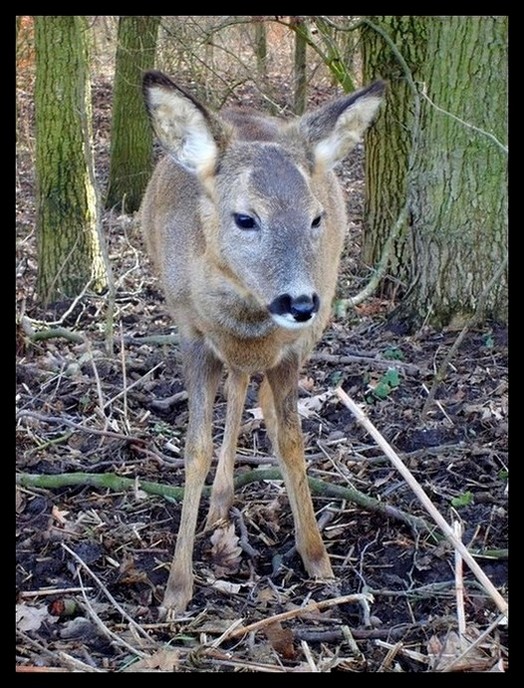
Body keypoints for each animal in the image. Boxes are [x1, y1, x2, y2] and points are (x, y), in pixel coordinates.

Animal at [140, 72, 384, 616]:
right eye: (245, 218)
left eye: (315, 218)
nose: (301, 302)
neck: (247, 317)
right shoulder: (191, 334)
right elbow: (196, 448)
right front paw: (176, 589)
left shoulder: (290, 348)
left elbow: (291, 441)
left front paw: (317, 558)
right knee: (236, 387)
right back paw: (219, 504)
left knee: (259, 401)